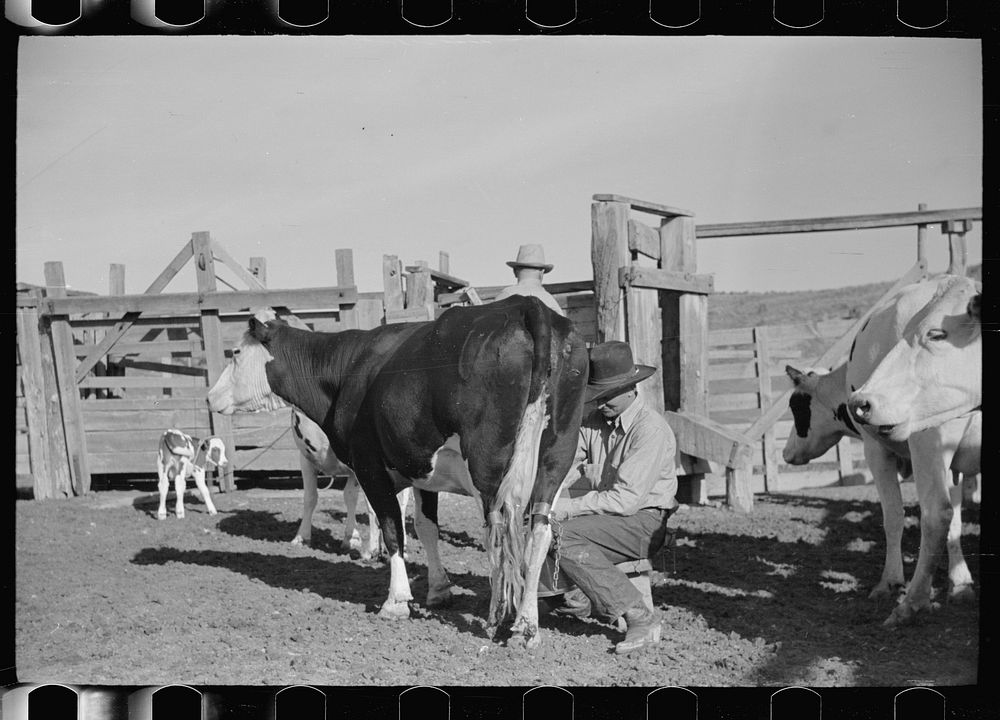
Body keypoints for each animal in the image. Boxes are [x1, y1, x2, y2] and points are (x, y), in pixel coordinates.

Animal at [207, 296, 588, 648]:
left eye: (236, 352)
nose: (210, 397)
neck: (348, 367)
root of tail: (525, 305)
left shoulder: (369, 466)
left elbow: (392, 528)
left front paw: (396, 601)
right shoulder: (421, 468)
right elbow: (425, 526)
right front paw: (439, 590)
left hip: (489, 470)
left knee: (500, 533)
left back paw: (499, 617)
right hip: (556, 458)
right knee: (539, 532)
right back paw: (526, 626)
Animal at [780, 360, 976, 608]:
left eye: (795, 405)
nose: (785, 452)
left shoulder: (876, 450)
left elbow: (893, 517)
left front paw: (890, 582)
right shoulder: (950, 466)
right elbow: (955, 522)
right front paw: (960, 583)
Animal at [844, 276, 984, 624]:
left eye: (937, 333)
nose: (860, 402)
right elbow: (938, 516)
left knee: (944, 516)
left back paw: (939, 589)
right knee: (919, 515)